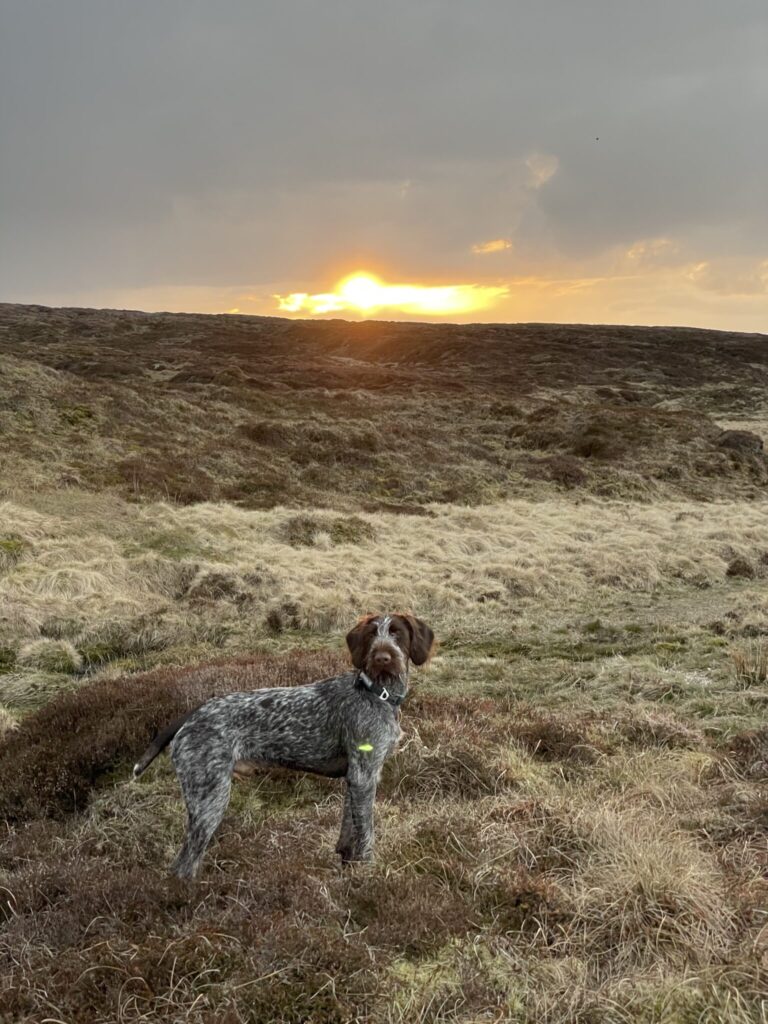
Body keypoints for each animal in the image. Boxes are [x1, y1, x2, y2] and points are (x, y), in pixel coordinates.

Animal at [133, 613, 435, 878]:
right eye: (372, 634)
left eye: (397, 633)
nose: (382, 657)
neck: (378, 692)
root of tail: (191, 716)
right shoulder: (364, 776)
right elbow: (366, 833)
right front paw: (368, 873)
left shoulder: (358, 777)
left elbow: (349, 829)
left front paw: (348, 867)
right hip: (210, 799)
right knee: (184, 865)